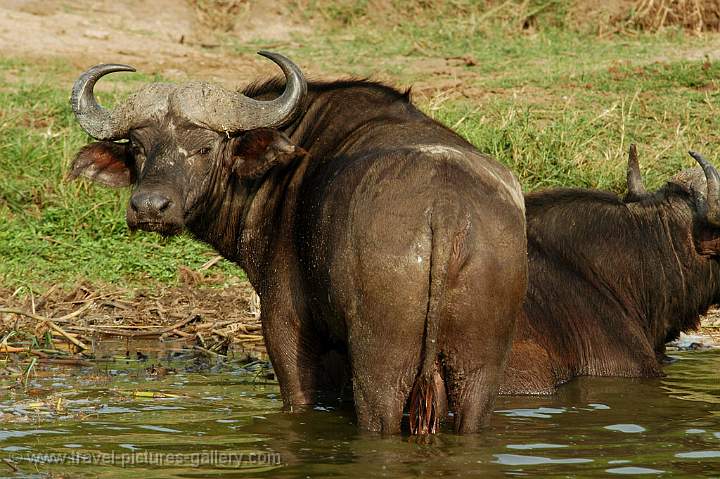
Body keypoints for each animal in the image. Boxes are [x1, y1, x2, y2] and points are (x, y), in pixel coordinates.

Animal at [69, 52, 528, 436]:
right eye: (138, 147)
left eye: (204, 147)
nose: (149, 206)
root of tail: (445, 208)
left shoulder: (285, 324)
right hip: (479, 365)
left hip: (382, 363)